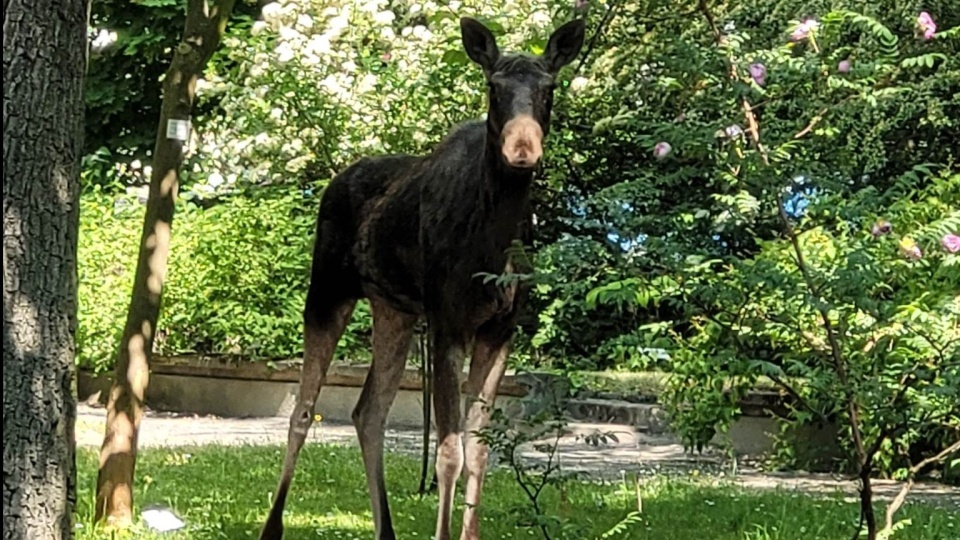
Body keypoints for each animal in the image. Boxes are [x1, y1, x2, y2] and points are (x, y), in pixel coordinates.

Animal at [262, 15, 588, 540]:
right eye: (494, 87)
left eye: (549, 87)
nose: (522, 148)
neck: (496, 239)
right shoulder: (448, 322)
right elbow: (449, 452)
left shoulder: (500, 329)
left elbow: (480, 448)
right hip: (327, 291)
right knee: (302, 410)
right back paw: (273, 526)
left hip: (393, 309)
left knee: (368, 411)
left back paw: (385, 530)